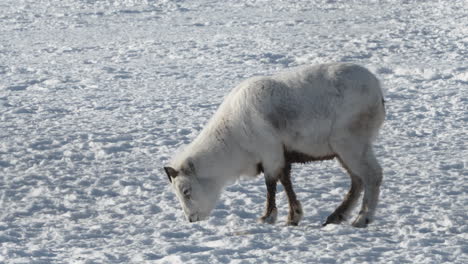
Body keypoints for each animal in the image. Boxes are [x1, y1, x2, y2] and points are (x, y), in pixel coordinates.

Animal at [164, 63, 384, 228]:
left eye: (186, 191)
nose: (191, 219)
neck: (232, 140)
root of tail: (378, 91)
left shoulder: (270, 154)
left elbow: (271, 184)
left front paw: (268, 217)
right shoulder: (281, 156)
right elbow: (285, 181)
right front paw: (293, 216)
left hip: (350, 144)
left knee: (372, 175)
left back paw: (361, 219)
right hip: (343, 151)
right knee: (357, 180)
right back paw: (336, 216)